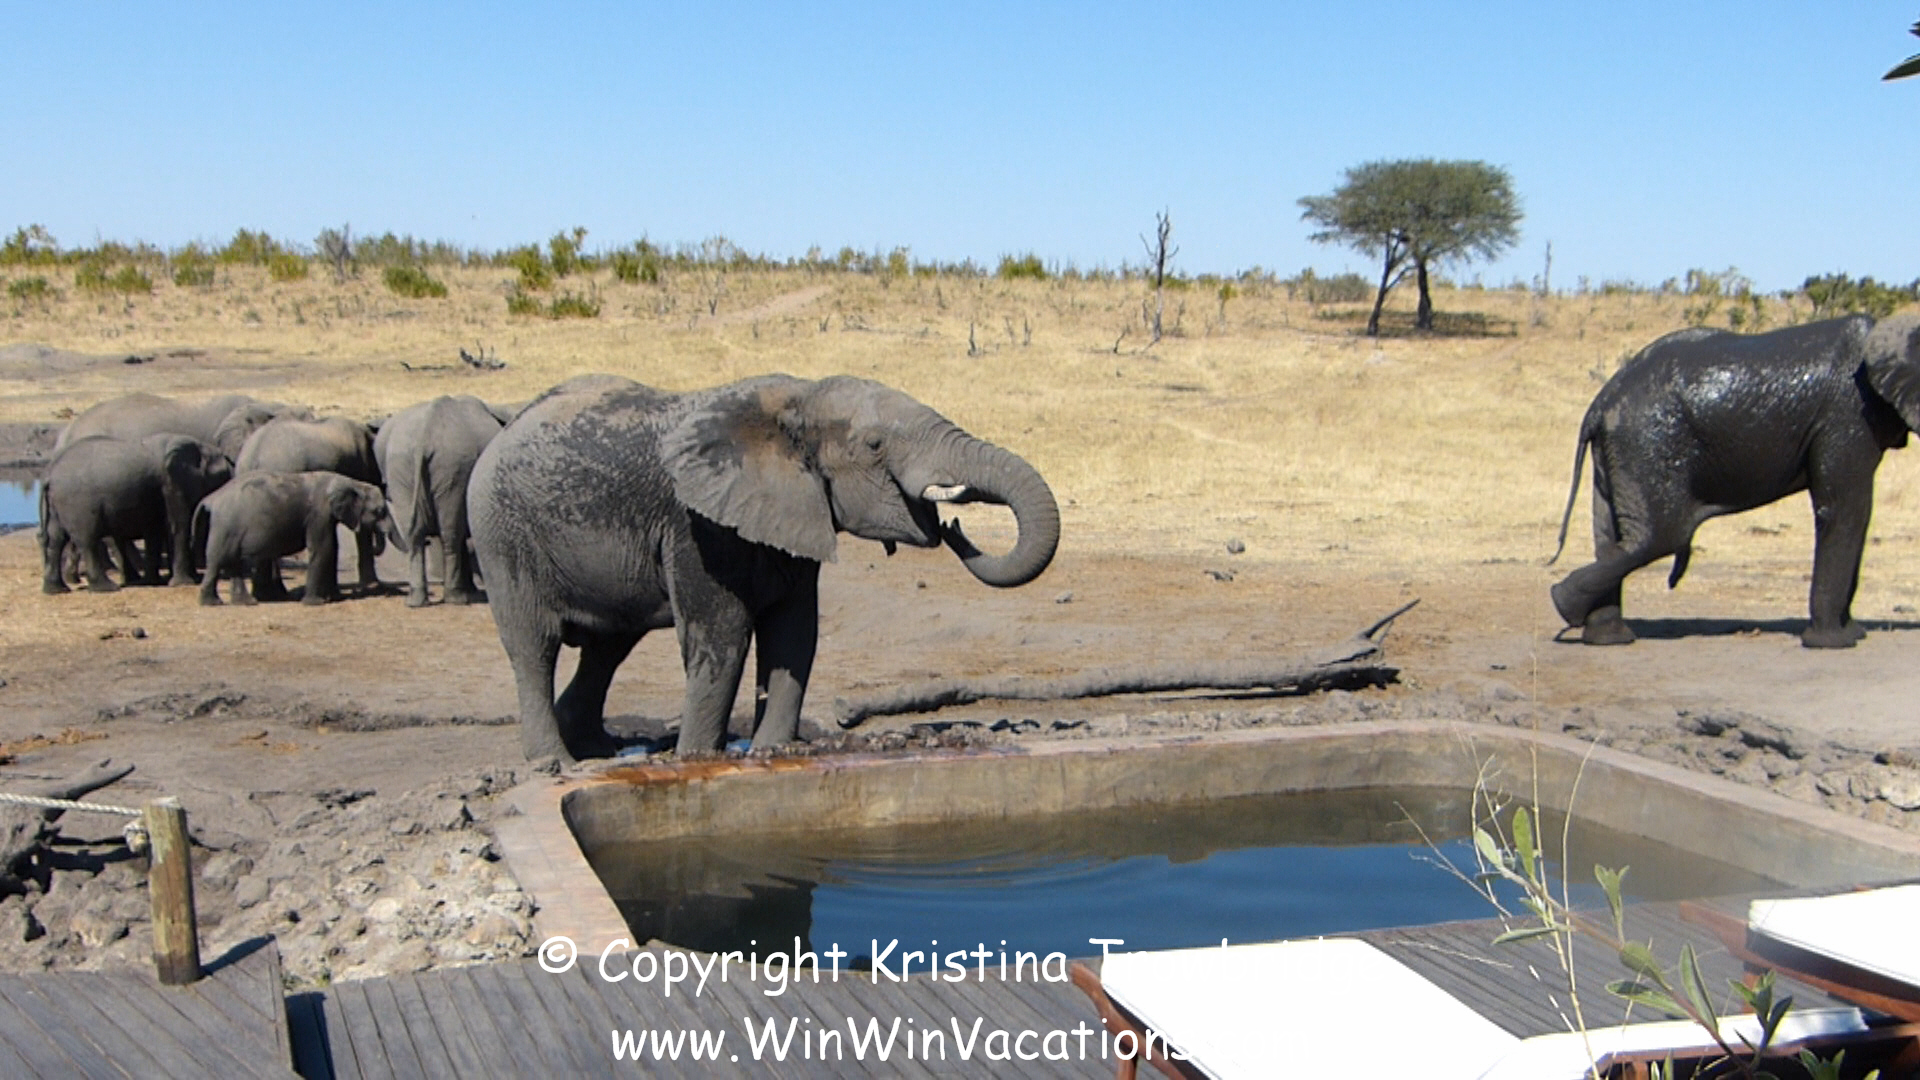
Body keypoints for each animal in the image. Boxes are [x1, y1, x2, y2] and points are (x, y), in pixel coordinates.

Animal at [39, 434, 233, 593]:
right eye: (223, 475)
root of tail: (49, 476)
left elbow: (155, 531)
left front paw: (153, 581)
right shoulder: (172, 484)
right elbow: (178, 526)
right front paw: (183, 583)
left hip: (59, 504)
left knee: (56, 540)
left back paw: (56, 589)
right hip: (78, 504)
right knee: (87, 540)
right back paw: (106, 588)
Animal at [196, 472, 391, 606]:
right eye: (378, 512)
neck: (351, 482)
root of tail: (210, 499)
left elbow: (331, 548)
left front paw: (335, 598)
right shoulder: (318, 514)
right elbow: (323, 549)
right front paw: (315, 603)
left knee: (232, 563)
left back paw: (246, 603)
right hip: (225, 528)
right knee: (217, 562)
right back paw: (213, 603)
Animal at [373, 395, 506, 606]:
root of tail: (425, 435)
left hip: (403, 465)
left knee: (415, 534)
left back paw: (415, 601)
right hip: (453, 466)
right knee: (451, 533)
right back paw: (456, 598)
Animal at [468, 373, 1061, 764]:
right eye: (874, 445)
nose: (955, 526)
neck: (794, 401)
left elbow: (795, 634)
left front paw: (771, 751)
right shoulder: (696, 524)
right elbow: (723, 636)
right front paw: (696, 761)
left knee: (607, 647)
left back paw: (599, 750)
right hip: (501, 534)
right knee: (535, 646)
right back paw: (557, 764)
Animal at [1549, 313, 1920, 649]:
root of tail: (1600, 403)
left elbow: (1856, 516)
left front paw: (1854, 634)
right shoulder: (1846, 415)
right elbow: (1845, 511)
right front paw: (1837, 643)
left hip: (1619, 452)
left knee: (1612, 538)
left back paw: (1606, 638)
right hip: (1648, 441)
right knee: (1660, 536)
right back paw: (1563, 604)